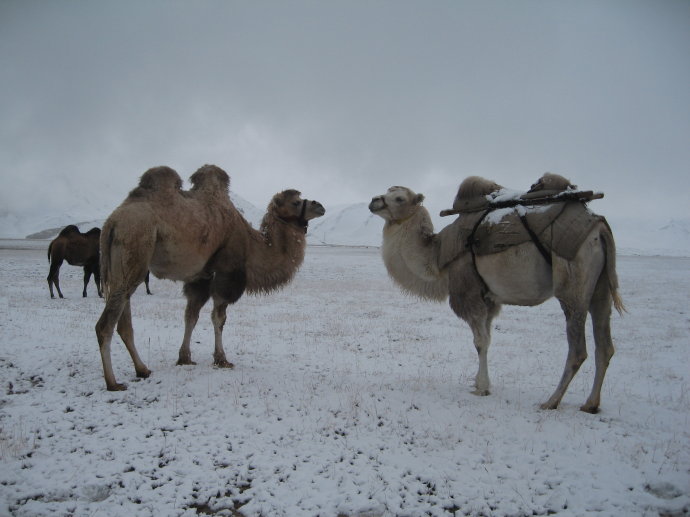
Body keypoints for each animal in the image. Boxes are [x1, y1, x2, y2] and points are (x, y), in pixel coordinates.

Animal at [93, 163, 326, 390]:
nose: (320, 206)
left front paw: (185, 358)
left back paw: (142, 370)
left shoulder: (200, 278)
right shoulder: (227, 274)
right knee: (105, 325)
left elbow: (191, 316)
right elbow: (218, 318)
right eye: (296, 202)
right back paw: (113, 383)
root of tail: (111, 223)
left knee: (124, 321)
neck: (251, 243)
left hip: (122, 265)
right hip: (135, 244)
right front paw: (222, 359)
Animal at [370, 175, 624, 414]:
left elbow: (480, 342)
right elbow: (488, 339)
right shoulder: (489, 299)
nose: (374, 201)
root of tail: (599, 228)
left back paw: (551, 401)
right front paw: (478, 382)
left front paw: (482, 387)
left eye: (399, 198)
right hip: (600, 286)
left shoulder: (469, 291)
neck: (438, 257)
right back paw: (590, 404)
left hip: (573, 279)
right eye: (387, 191)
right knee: (604, 344)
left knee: (578, 347)